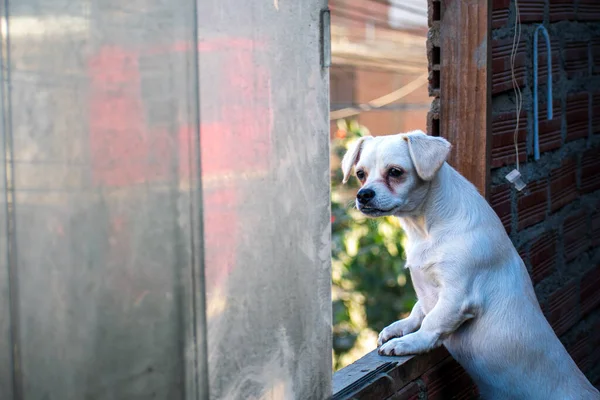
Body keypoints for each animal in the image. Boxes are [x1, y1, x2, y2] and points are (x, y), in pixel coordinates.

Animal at [342, 130, 600, 398]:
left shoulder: (458, 295)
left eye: (395, 172)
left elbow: (433, 321)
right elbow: (419, 310)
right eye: (360, 174)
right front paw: (400, 327)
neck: (424, 229)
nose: (363, 194)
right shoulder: (427, 289)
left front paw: (407, 343)